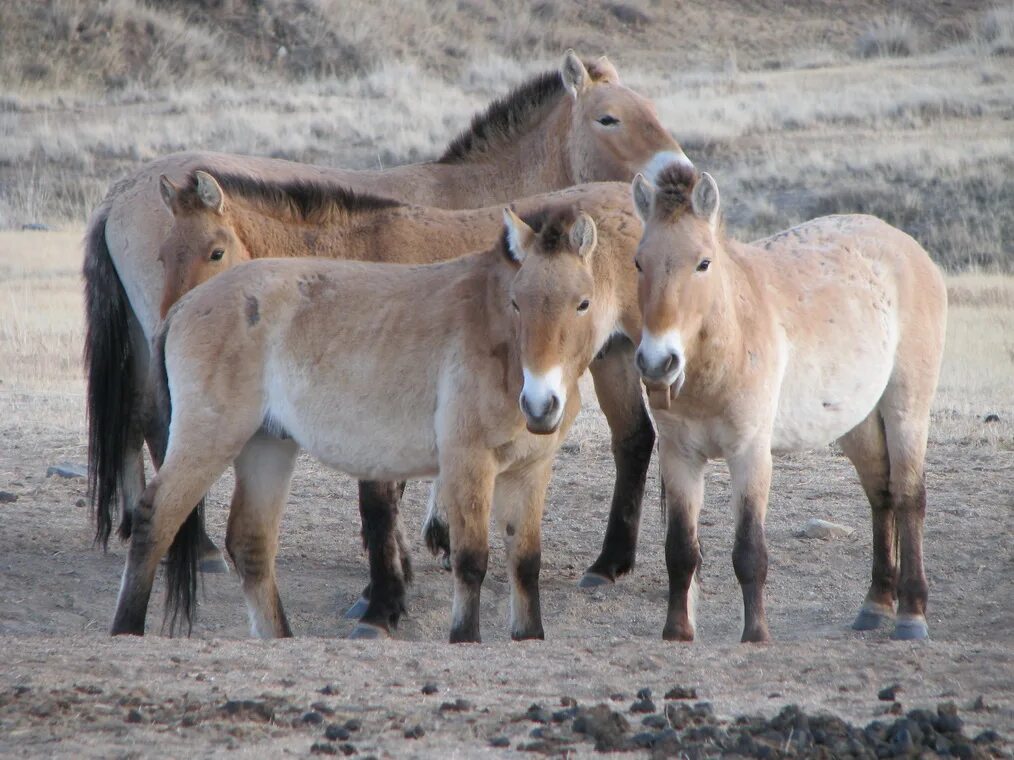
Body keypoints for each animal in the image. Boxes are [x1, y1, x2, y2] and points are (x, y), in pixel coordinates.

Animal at [113, 206, 632, 644]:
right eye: (518, 302)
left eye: (582, 303)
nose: (540, 404)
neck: (499, 342)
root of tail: (184, 307)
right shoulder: (469, 464)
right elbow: (471, 561)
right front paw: (464, 638)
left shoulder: (530, 470)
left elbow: (524, 563)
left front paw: (529, 637)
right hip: (209, 440)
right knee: (155, 519)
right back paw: (126, 629)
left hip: (266, 447)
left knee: (251, 544)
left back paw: (280, 638)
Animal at [628, 165, 945, 644]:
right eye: (639, 262)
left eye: (703, 263)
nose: (657, 362)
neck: (728, 346)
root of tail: (908, 247)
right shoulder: (679, 456)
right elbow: (680, 549)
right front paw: (677, 632)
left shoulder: (750, 454)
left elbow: (749, 551)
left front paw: (756, 635)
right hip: (857, 424)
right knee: (881, 493)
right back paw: (875, 606)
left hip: (905, 412)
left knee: (909, 497)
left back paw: (910, 616)